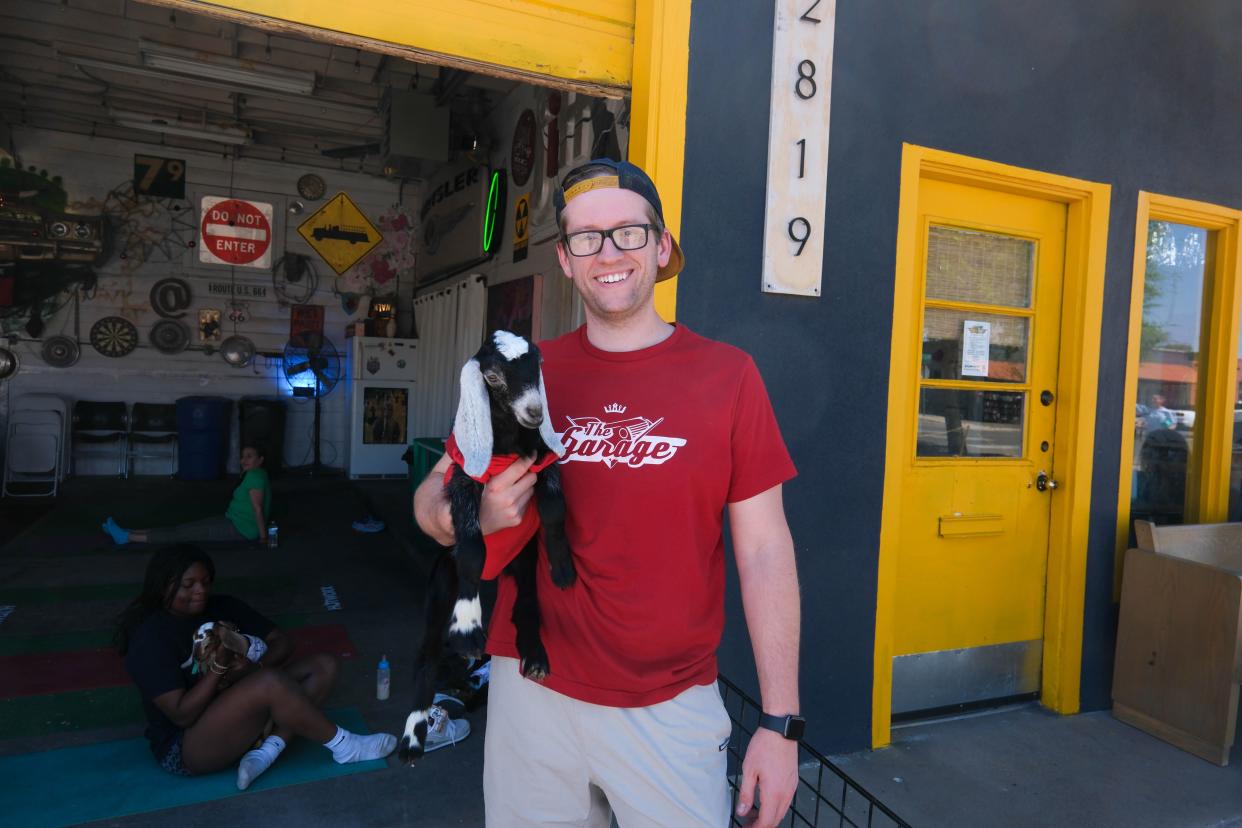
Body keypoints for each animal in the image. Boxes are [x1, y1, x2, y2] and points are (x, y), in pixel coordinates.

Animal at [399, 332, 573, 764]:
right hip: (440, 585)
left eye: (537, 364)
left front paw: (563, 566)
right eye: (492, 376)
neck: (508, 440)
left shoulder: (542, 463)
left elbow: (554, 508)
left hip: (524, 565)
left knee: (524, 604)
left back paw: (534, 655)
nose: (535, 411)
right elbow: (472, 548)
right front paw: (467, 626)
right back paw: (413, 737)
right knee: (427, 654)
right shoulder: (464, 479)